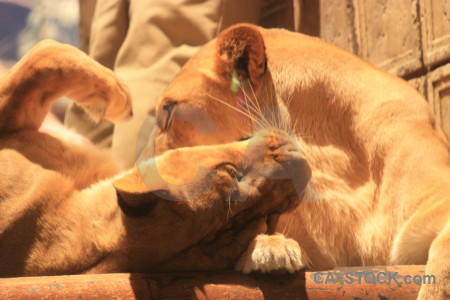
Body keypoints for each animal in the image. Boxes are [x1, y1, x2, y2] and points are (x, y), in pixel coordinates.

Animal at [0, 39, 310, 276]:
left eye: (268, 219)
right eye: (232, 173)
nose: (302, 170)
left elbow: (43, 56)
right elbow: (44, 56)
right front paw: (117, 98)